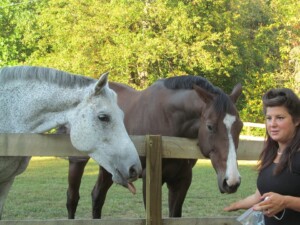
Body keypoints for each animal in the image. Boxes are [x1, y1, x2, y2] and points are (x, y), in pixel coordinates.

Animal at [66, 75, 244, 218]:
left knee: (97, 197)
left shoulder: (182, 179)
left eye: (240, 127)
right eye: (210, 126)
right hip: (77, 161)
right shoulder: (150, 180)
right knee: (72, 199)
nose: (232, 181)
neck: (168, 121)